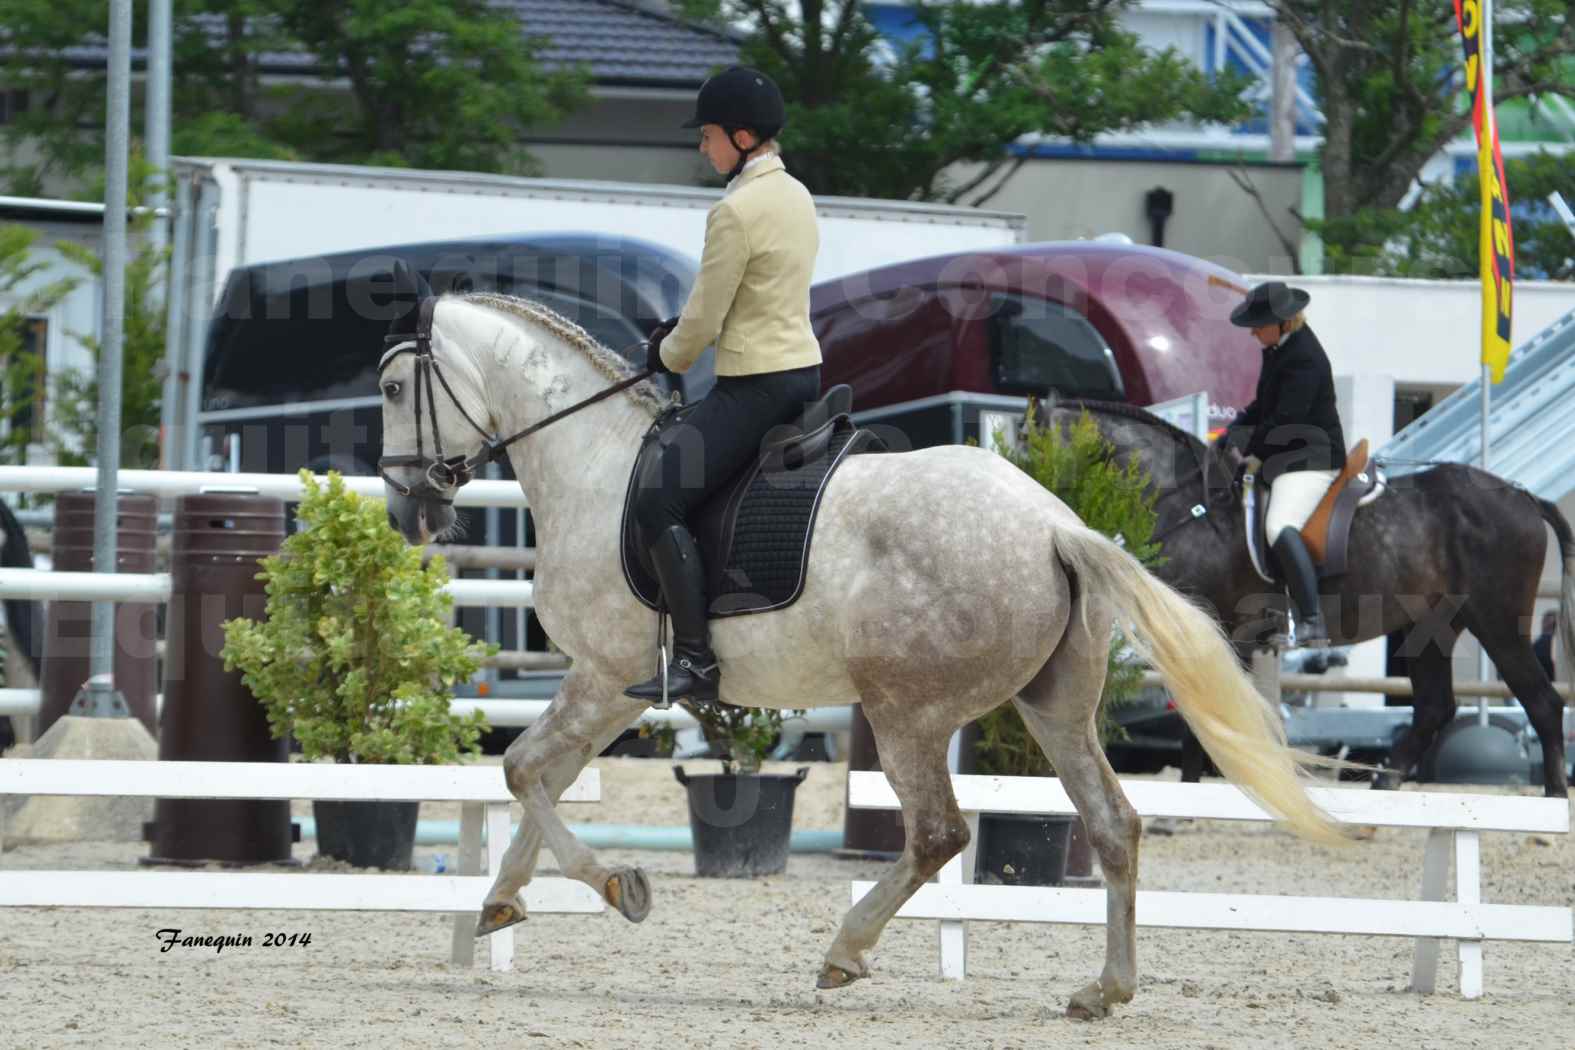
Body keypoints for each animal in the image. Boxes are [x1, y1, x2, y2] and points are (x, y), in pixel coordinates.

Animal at [378, 295, 1341, 1020]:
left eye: (390, 386)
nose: (408, 512)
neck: (595, 465)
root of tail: (1054, 525)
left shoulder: (607, 678)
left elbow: (523, 770)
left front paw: (618, 886)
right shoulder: (605, 685)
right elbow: (537, 774)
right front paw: (502, 901)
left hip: (904, 712)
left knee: (939, 833)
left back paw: (844, 951)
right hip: (1052, 707)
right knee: (1110, 824)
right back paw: (1103, 990)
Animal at [1045, 399, 1575, 796]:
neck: (1191, 507)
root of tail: (1523, 497)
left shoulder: (1217, 631)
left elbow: (1212, 723)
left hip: (1497, 620)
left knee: (1541, 702)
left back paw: (1552, 798)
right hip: (1430, 628)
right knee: (1435, 708)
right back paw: (1383, 793)